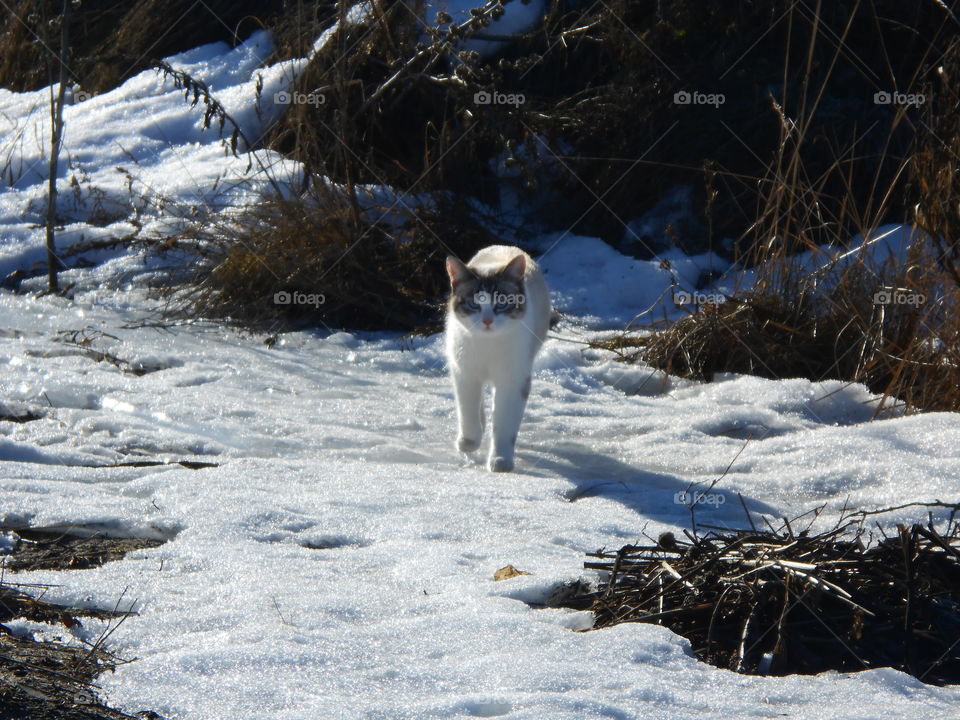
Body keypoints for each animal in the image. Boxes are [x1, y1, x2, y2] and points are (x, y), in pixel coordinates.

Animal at [446, 246, 552, 472]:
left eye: (502, 303)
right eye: (474, 304)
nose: (487, 320)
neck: (489, 345)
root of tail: (504, 247)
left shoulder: (514, 381)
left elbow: (504, 425)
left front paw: (500, 460)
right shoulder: (465, 373)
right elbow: (467, 411)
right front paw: (470, 442)